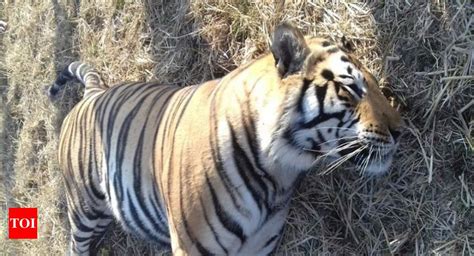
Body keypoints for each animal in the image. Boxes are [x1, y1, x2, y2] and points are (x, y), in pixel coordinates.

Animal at [51, 23, 400, 255]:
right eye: (351, 88)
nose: (400, 129)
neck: (277, 174)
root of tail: (93, 93)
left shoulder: (259, 246)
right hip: (83, 208)